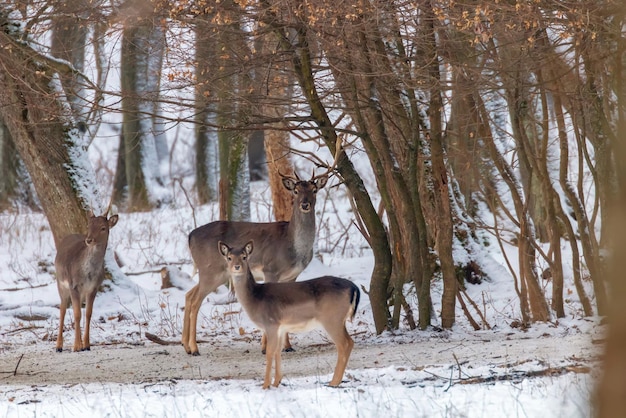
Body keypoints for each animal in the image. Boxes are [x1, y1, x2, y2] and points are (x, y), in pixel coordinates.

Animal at [53, 211, 118, 352]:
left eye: (103, 228)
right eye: (89, 225)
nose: (89, 240)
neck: (87, 274)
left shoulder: (94, 287)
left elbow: (88, 313)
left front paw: (87, 345)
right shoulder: (73, 285)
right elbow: (77, 314)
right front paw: (77, 346)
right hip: (61, 283)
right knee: (62, 310)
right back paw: (58, 346)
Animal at [219, 240, 358, 390]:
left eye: (244, 257)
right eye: (229, 257)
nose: (237, 266)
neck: (255, 299)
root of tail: (354, 288)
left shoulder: (271, 323)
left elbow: (269, 352)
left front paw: (265, 385)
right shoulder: (280, 328)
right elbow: (277, 351)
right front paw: (277, 382)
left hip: (332, 319)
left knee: (344, 344)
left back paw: (334, 382)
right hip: (339, 320)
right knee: (350, 342)